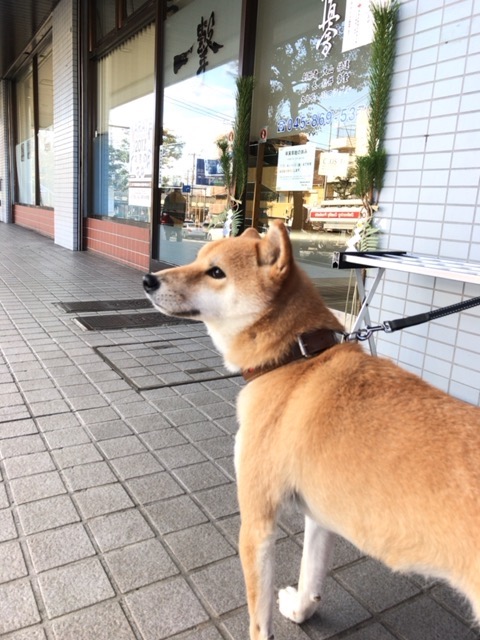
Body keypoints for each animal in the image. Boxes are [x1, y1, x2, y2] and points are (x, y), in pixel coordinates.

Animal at [143, 222, 480, 640]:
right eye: (196, 259)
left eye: (216, 272)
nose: (148, 279)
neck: (293, 358)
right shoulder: (319, 514)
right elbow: (311, 578)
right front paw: (300, 611)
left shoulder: (257, 523)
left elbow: (259, 620)